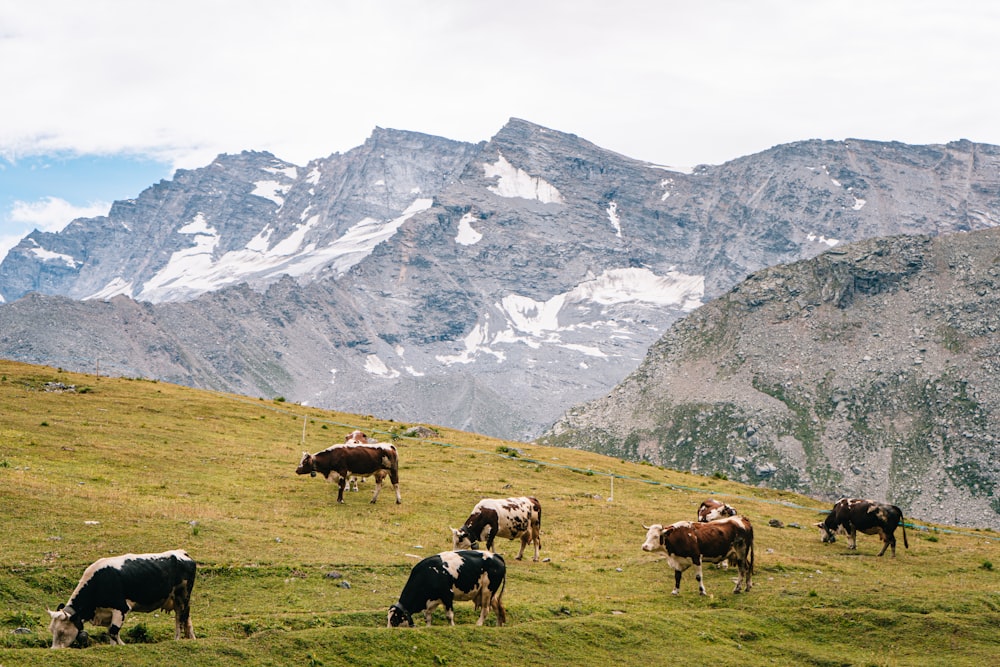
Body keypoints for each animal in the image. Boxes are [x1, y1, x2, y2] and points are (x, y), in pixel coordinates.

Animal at [46, 552, 195, 648]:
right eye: (52, 630)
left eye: (62, 632)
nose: (54, 650)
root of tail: (182, 553)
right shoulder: (108, 613)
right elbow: (110, 632)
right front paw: (113, 647)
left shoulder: (121, 607)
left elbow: (113, 632)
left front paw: (122, 645)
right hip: (179, 600)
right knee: (185, 617)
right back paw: (190, 637)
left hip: (182, 596)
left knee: (180, 618)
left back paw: (177, 639)